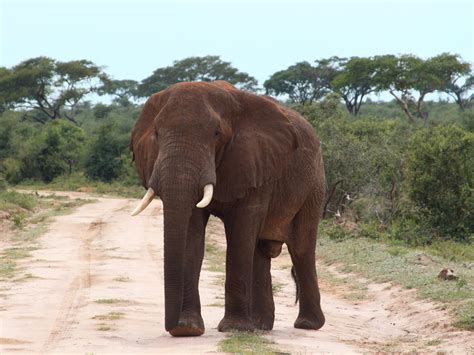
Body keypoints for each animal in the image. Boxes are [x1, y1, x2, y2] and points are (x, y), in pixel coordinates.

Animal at [131, 80, 326, 336]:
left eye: (217, 134)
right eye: (156, 134)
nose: (172, 325)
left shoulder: (256, 163)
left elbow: (241, 233)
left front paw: (233, 328)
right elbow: (191, 234)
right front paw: (188, 329)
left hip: (314, 184)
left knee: (301, 248)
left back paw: (306, 325)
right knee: (260, 252)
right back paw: (261, 327)